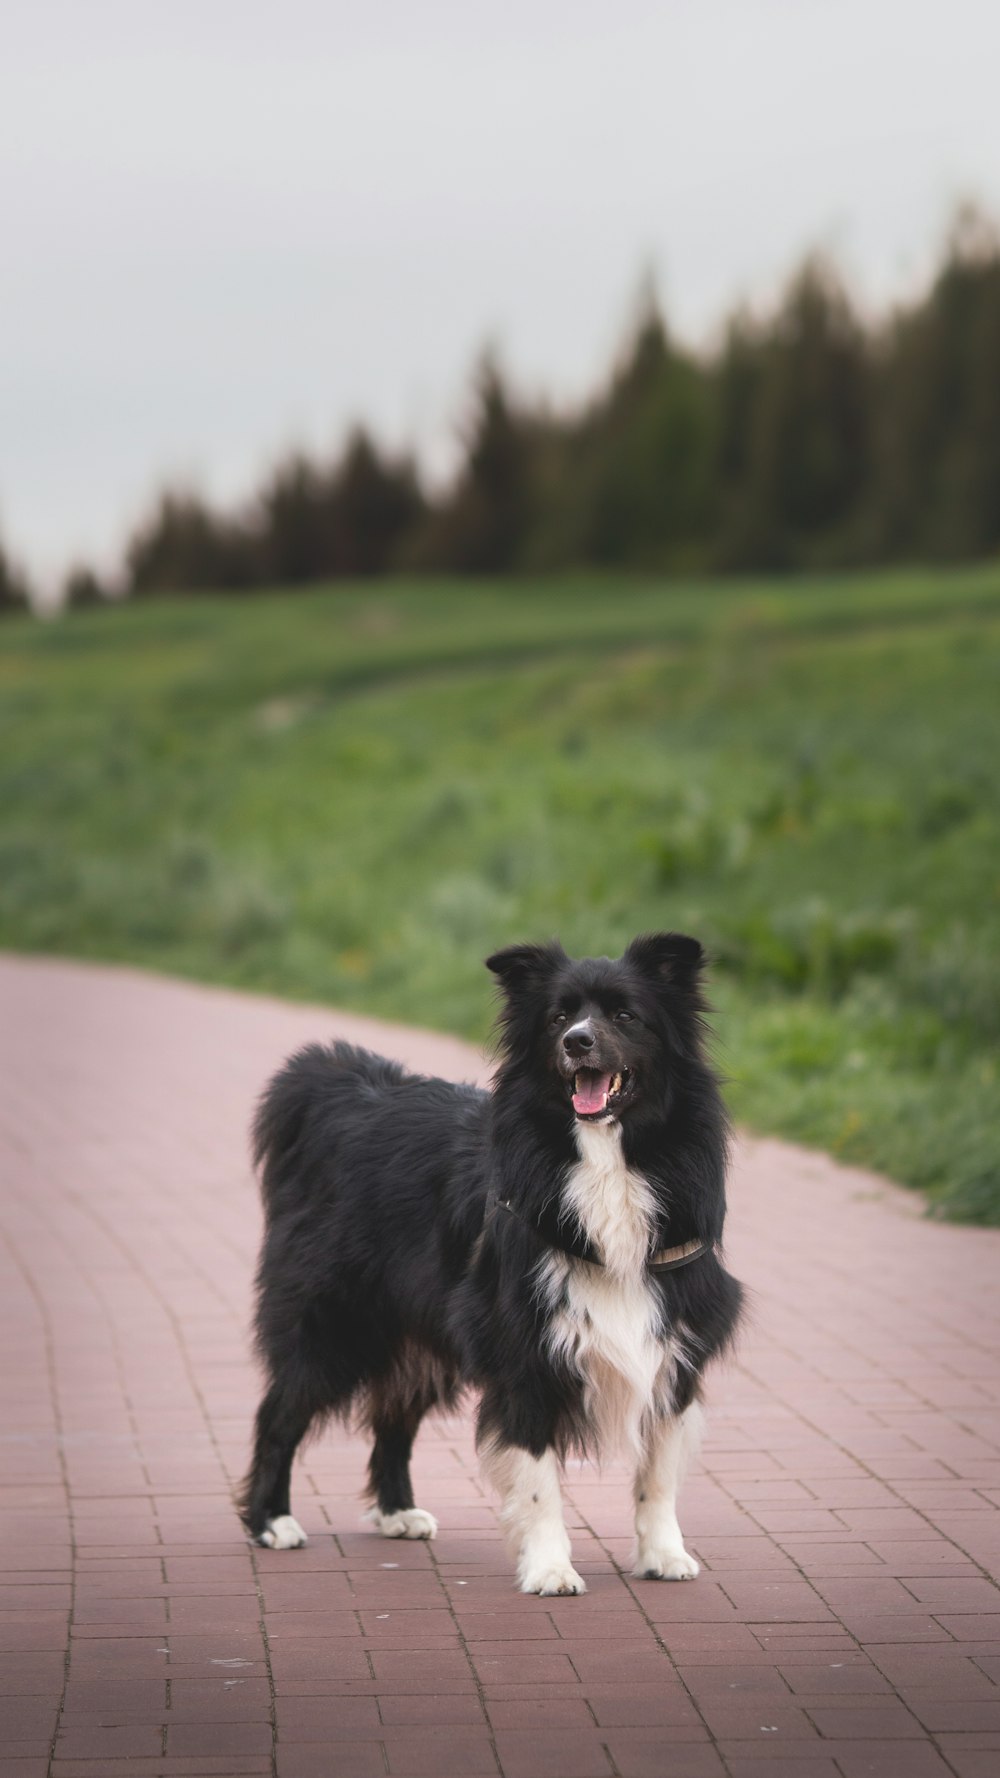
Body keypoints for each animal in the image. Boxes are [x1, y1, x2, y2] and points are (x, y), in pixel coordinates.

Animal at [240, 938, 740, 1593]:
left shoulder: (673, 1342)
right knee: (281, 1411)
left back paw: (398, 1513)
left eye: (626, 1015)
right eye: (557, 1017)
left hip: (417, 1330)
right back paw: (271, 1522)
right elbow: (538, 1481)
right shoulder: (522, 1349)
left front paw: (664, 1556)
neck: (605, 1159)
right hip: (335, 1318)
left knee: (393, 1414)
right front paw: (550, 1570)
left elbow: (658, 1472)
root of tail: (339, 1090)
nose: (577, 1042)